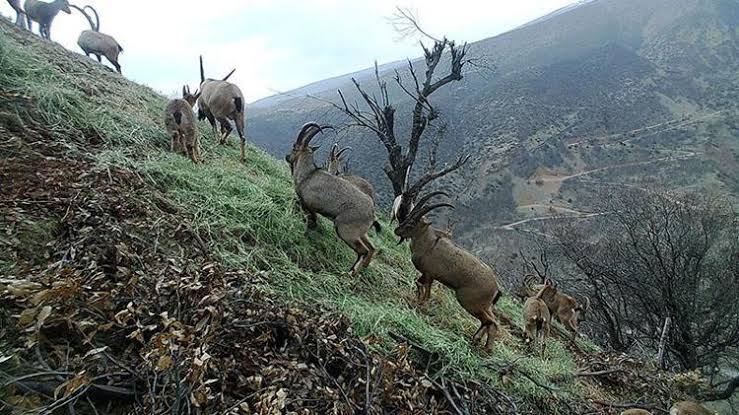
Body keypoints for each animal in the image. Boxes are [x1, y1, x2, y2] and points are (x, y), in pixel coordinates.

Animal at [284, 125, 382, 278]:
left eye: (294, 147)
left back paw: (350, 273)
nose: (287, 157)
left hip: (346, 231)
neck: (308, 175)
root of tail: (372, 214)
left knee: (363, 251)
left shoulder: (309, 205)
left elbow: (311, 219)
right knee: (371, 248)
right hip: (361, 233)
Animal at [396, 193, 506, 352]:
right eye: (407, 217)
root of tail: (496, 288)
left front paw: (421, 303)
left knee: (492, 322)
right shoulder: (428, 275)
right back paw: (475, 339)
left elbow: (424, 287)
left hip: (469, 301)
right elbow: (419, 283)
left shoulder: (429, 274)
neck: (428, 244)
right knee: (488, 321)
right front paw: (419, 300)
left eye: (411, 224)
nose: (397, 230)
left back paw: (486, 349)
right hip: (483, 305)